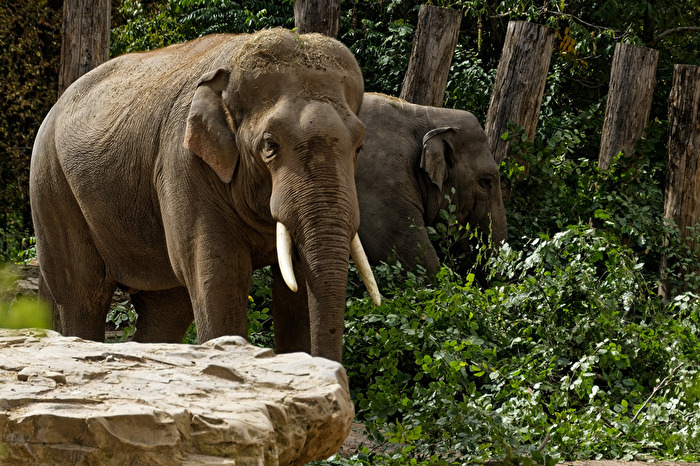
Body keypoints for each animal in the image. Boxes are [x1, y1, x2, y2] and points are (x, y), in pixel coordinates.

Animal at [30, 29, 381, 363]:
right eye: (270, 145)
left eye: (360, 146)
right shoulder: (184, 165)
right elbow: (220, 277)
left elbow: (296, 290)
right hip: (50, 184)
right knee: (84, 294)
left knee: (166, 307)